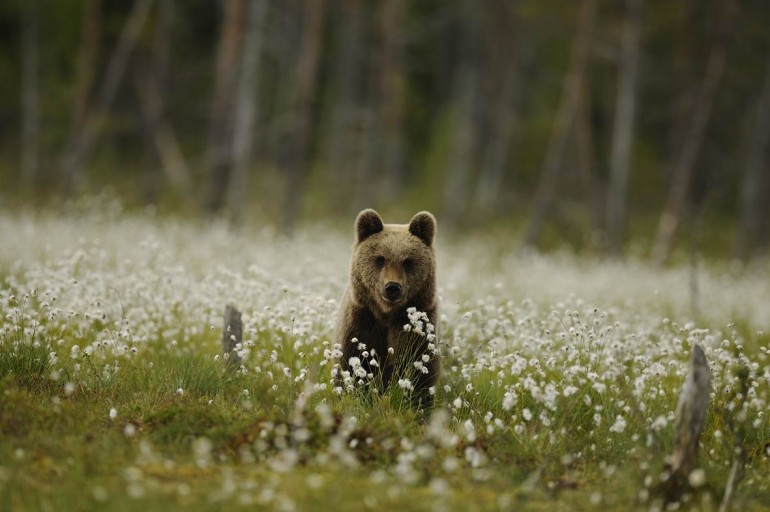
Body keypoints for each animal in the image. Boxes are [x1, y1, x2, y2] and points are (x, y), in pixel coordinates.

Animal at [335, 209, 440, 409]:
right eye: (380, 259)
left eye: (407, 261)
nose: (392, 287)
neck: (387, 315)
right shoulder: (362, 321)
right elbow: (352, 364)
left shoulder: (417, 328)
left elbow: (419, 371)